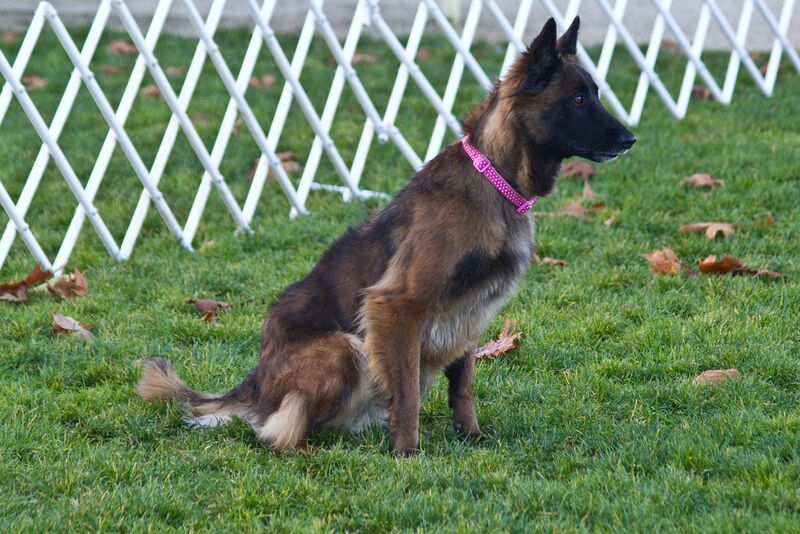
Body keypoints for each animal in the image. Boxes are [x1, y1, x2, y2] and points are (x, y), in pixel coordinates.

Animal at [139, 18, 636, 458]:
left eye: (594, 93)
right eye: (578, 98)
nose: (631, 138)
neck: (493, 179)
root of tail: (254, 384)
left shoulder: (468, 316)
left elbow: (464, 388)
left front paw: (470, 439)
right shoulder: (397, 307)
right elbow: (409, 391)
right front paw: (406, 452)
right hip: (344, 346)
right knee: (278, 430)